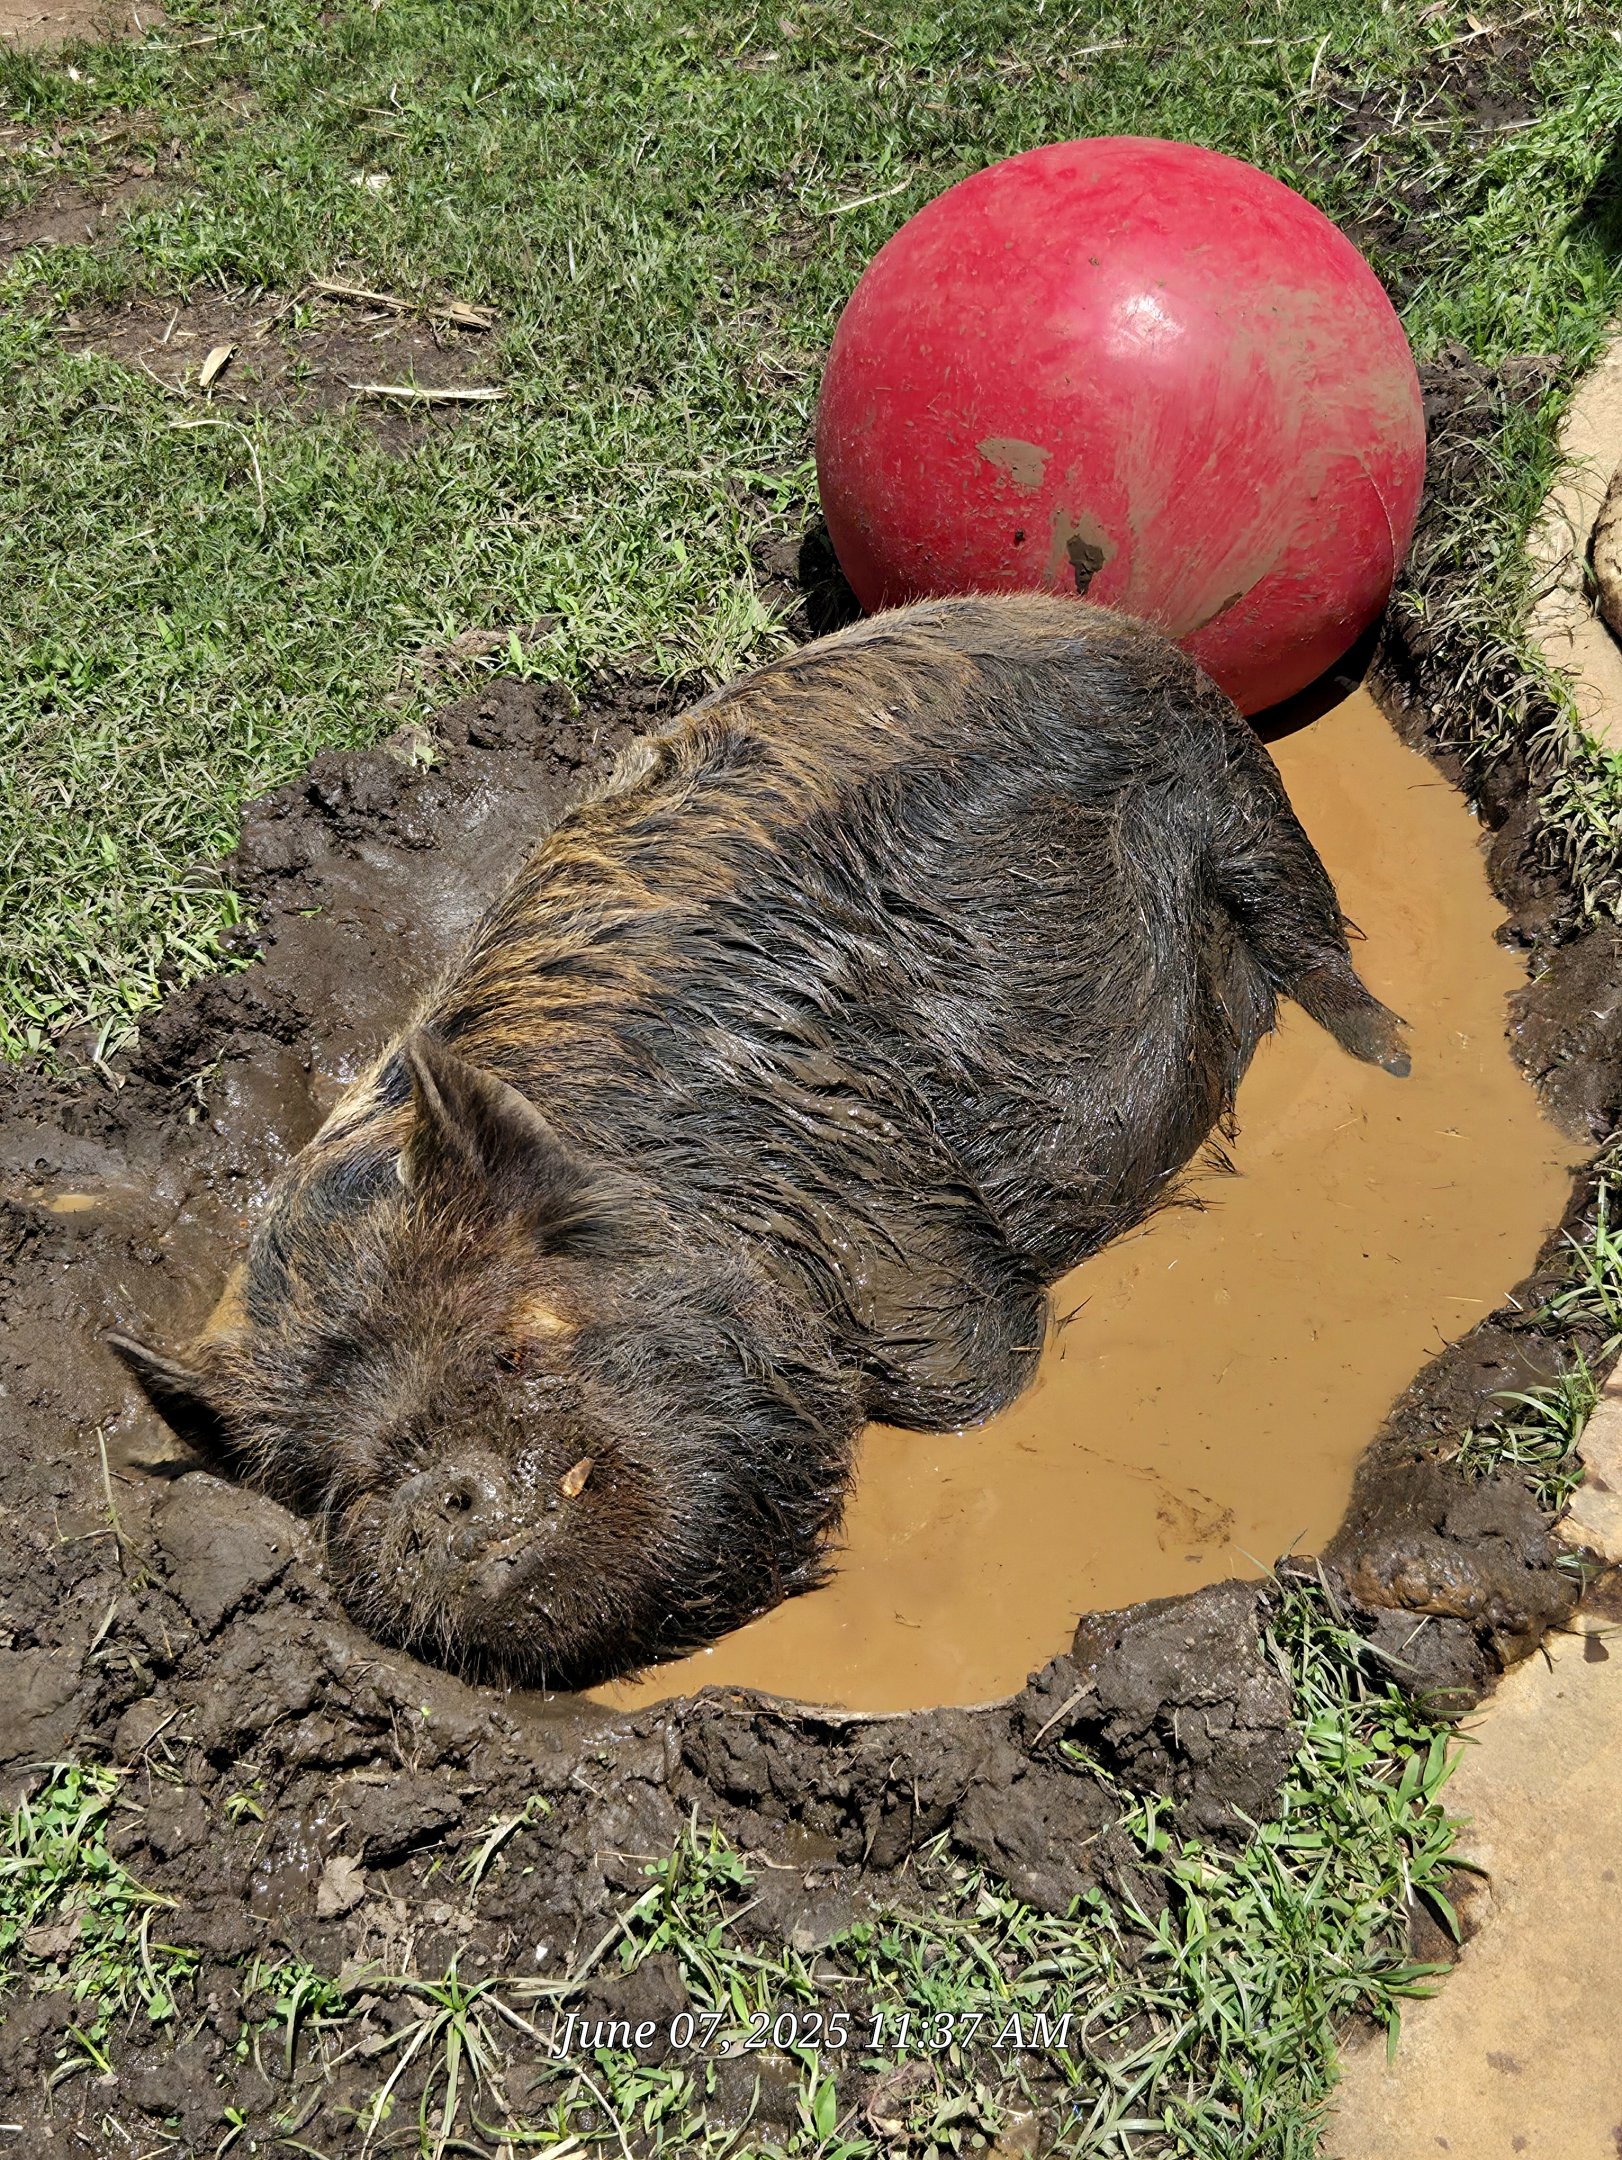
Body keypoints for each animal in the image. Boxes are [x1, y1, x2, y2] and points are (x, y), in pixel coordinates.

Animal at [110, 595, 1407, 1689]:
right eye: (338, 1482)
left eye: (511, 1345)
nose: (428, 1498)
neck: (677, 1163)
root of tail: (1111, 625)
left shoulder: (896, 1214)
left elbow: (970, 1380)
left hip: (1239, 802)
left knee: (1313, 938)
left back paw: (1392, 1062)